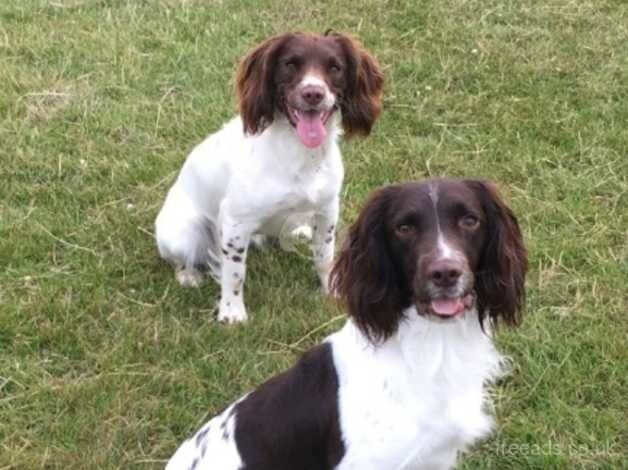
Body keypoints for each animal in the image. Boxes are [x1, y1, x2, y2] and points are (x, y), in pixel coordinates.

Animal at [155, 31, 386, 322]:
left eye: (335, 67)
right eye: (290, 64)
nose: (313, 93)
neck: (300, 154)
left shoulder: (327, 210)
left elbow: (325, 257)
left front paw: (332, 293)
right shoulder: (235, 223)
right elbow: (234, 274)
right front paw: (232, 313)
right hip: (181, 234)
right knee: (181, 259)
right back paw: (188, 275)